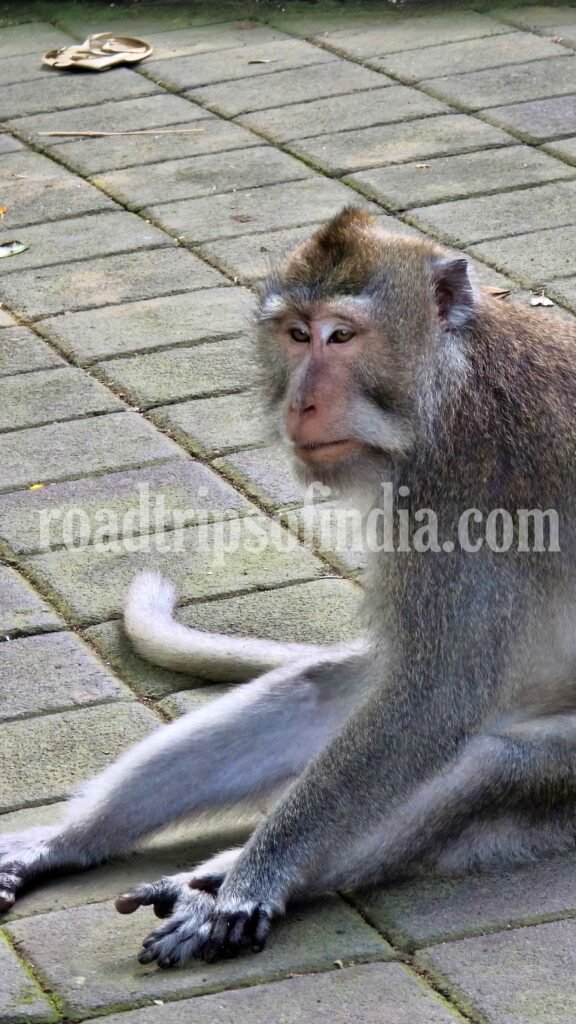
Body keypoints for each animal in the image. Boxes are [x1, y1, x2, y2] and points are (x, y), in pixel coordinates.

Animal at [2, 206, 576, 970]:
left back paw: (219, 885)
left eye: (343, 335)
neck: (448, 384)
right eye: (297, 335)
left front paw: (254, 879)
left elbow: (434, 698)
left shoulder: (468, 486)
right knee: (312, 692)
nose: (301, 402)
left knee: (491, 765)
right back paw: (68, 847)